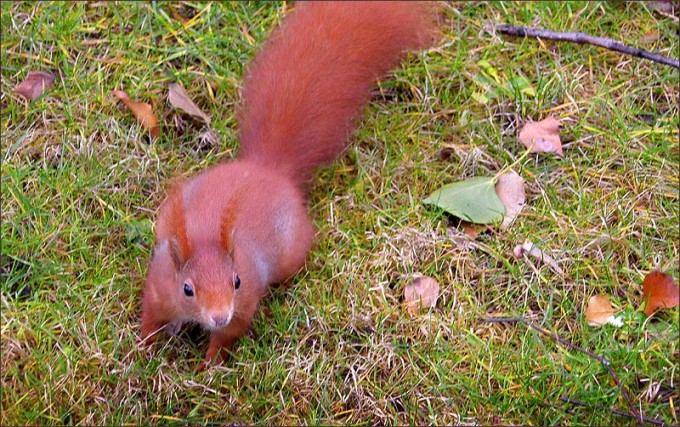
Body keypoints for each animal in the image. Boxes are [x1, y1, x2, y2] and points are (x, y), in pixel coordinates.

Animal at [139, 1, 437, 367]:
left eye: (237, 281)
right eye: (187, 289)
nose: (219, 315)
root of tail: (268, 169)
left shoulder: (244, 303)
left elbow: (227, 337)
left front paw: (210, 365)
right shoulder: (159, 287)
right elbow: (150, 316)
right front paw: (143, 347)